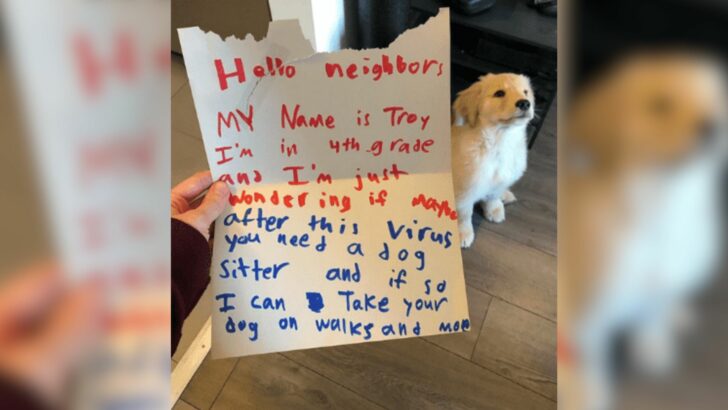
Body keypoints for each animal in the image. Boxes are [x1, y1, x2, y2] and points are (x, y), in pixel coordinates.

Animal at [450, 73, 536, 247]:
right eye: (499, 93)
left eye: (525, 92)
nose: (525, 103)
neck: (500, 143)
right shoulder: (465, 188)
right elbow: (464, 213)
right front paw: (463, 232)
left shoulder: (501, 179)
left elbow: (493, 195)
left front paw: (494, 208)